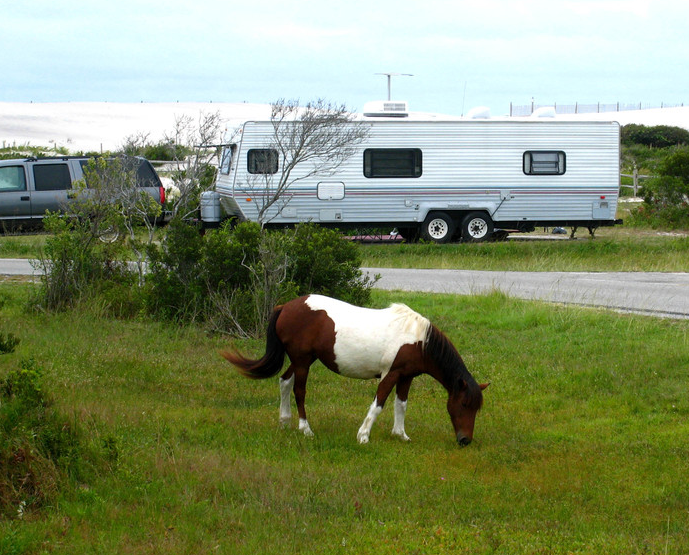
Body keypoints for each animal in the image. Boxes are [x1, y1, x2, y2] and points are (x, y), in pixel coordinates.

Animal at [223, 296, 486, 448]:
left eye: (476, 408)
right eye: (464, 404)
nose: (465, 440)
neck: (419, 340)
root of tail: (286, 306)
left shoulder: (406, 376)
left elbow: (401, 405)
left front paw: (400, 435)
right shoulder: (391, 374)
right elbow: (378, 404)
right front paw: (363, 436)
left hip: (302, 359)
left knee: (284, 382)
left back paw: (284, 421)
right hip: (303, 360)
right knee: (299, 390)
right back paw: (305, 429)